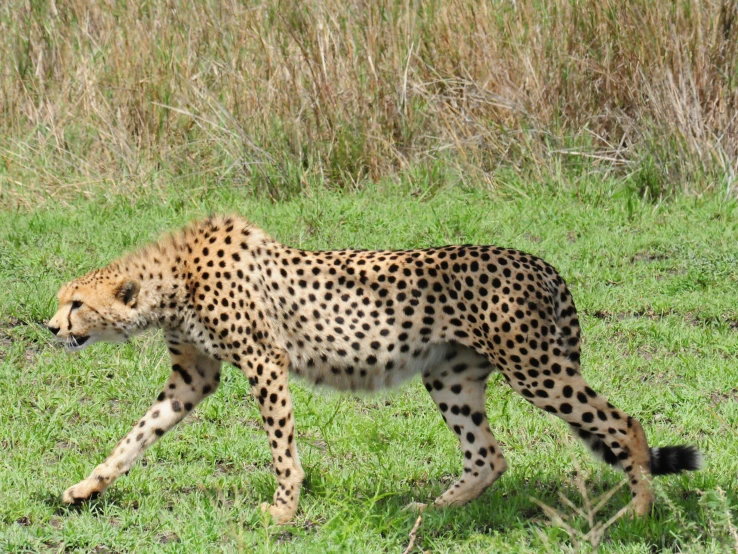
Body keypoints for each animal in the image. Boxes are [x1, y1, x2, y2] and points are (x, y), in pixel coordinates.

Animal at [49, 215, 700, 520]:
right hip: (450, 375)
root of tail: (537, 260)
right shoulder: (194, 375)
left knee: (622, 422)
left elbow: (281, 446)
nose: (52, 327)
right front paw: (86, 487)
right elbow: (136, 435)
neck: (172, 278)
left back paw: (639, 511)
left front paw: (283, 510)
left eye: (75, 303)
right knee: (488, 455)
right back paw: (433, 513)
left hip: (534, 367)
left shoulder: (264, 359)